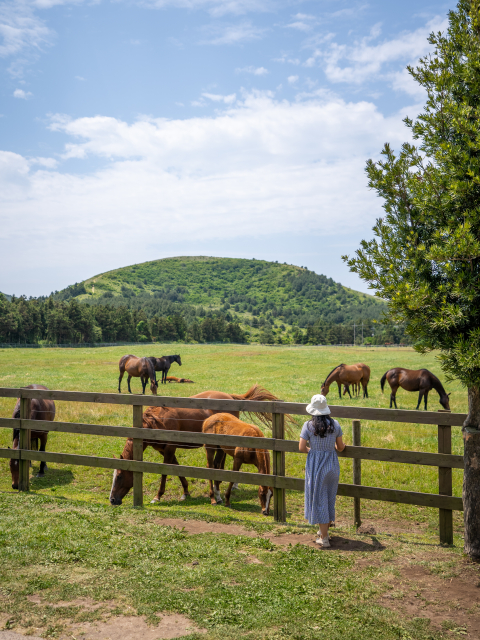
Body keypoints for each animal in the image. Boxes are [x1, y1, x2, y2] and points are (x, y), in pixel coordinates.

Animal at [107, 384, 284, 504]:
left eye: (120, 476)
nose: (112, 499)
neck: (154, 421)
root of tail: (230, 396)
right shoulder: (165, 450)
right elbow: (177, 469)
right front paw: (186, 492)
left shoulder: (170, 448)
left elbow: (165, 472)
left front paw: (158, 496)